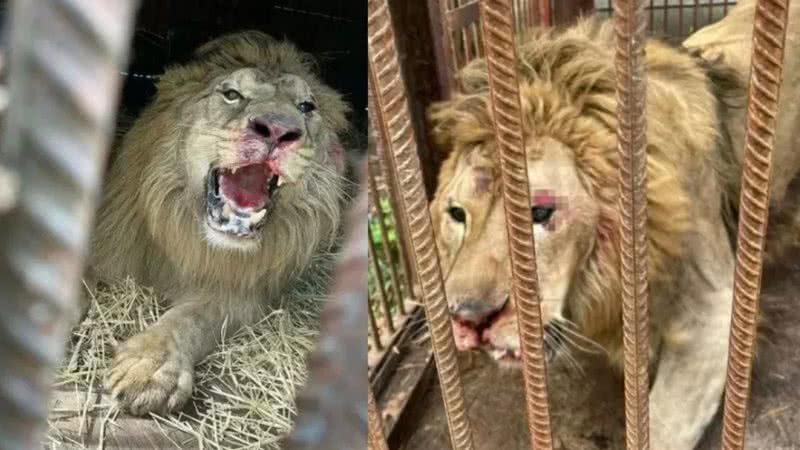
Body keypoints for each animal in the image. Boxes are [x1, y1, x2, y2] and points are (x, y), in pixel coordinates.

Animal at [87, 31, 350, 416]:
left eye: (306, 107)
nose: (278, 129)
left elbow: (190, 319)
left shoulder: (238, 290)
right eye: (232, 94)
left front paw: (151, 368)